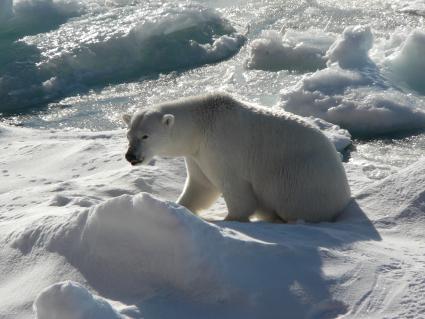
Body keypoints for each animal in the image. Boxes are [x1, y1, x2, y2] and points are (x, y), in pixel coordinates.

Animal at [121, 92, 348, 222]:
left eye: (145, 135)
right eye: (129, 135)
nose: (130, 155)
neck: (200, 124)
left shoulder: (220, 147)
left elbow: (233, 186)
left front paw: (231, 219)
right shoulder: (197, 153)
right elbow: (201, 185)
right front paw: (179, 207)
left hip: (301, 178)